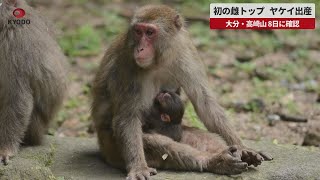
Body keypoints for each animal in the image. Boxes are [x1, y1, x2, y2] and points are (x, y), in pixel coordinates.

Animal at [92, 3, 272, 179]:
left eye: (149, 32)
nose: (140, 49)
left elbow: (205, 102)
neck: (159, 60)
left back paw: (233, 154)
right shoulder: (128, 65)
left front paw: (244, 148)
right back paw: (215, 161)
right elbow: (128, 117)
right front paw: (138, 167)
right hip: (112, 148)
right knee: (157, 143)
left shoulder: (186, 51)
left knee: (205, 137)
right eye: (138, 31)